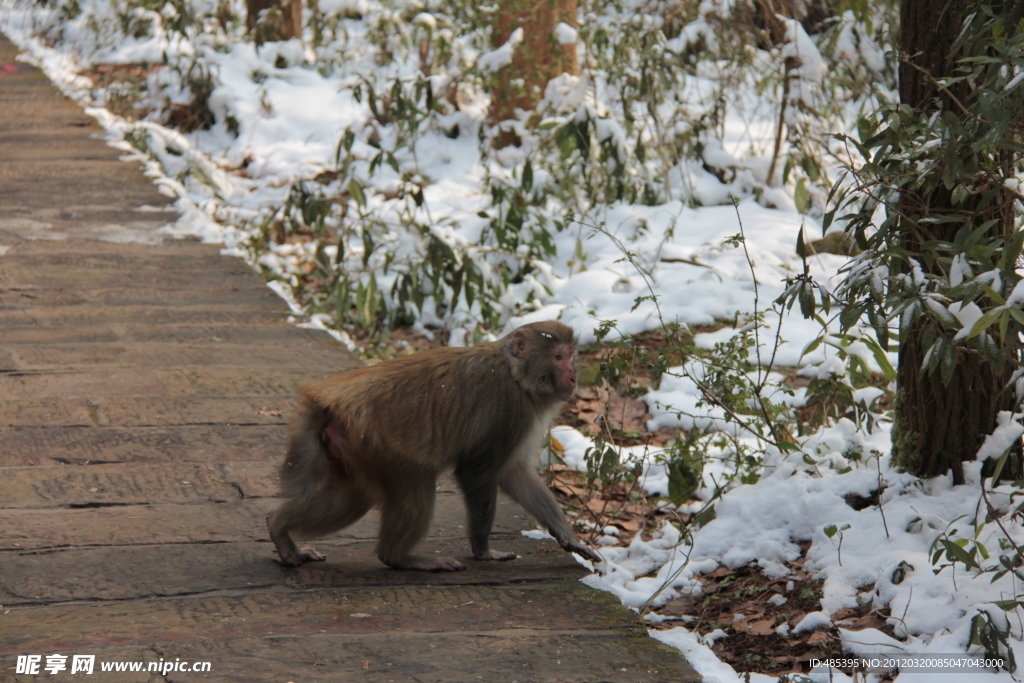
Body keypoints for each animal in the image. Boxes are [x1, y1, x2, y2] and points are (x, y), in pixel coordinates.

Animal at [264, 321, 602, 573]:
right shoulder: (511, 409)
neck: (516, 374)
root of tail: (327, 399)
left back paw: (279, 526)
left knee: (353, 498)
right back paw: (401, 557)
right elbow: (477, 471)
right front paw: (483, 551)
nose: (574, 376)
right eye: (558, 357)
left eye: (570, 355)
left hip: (348, 446)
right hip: (379, 443)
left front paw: (567, 536)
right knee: (415, 483)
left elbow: (513, 474)